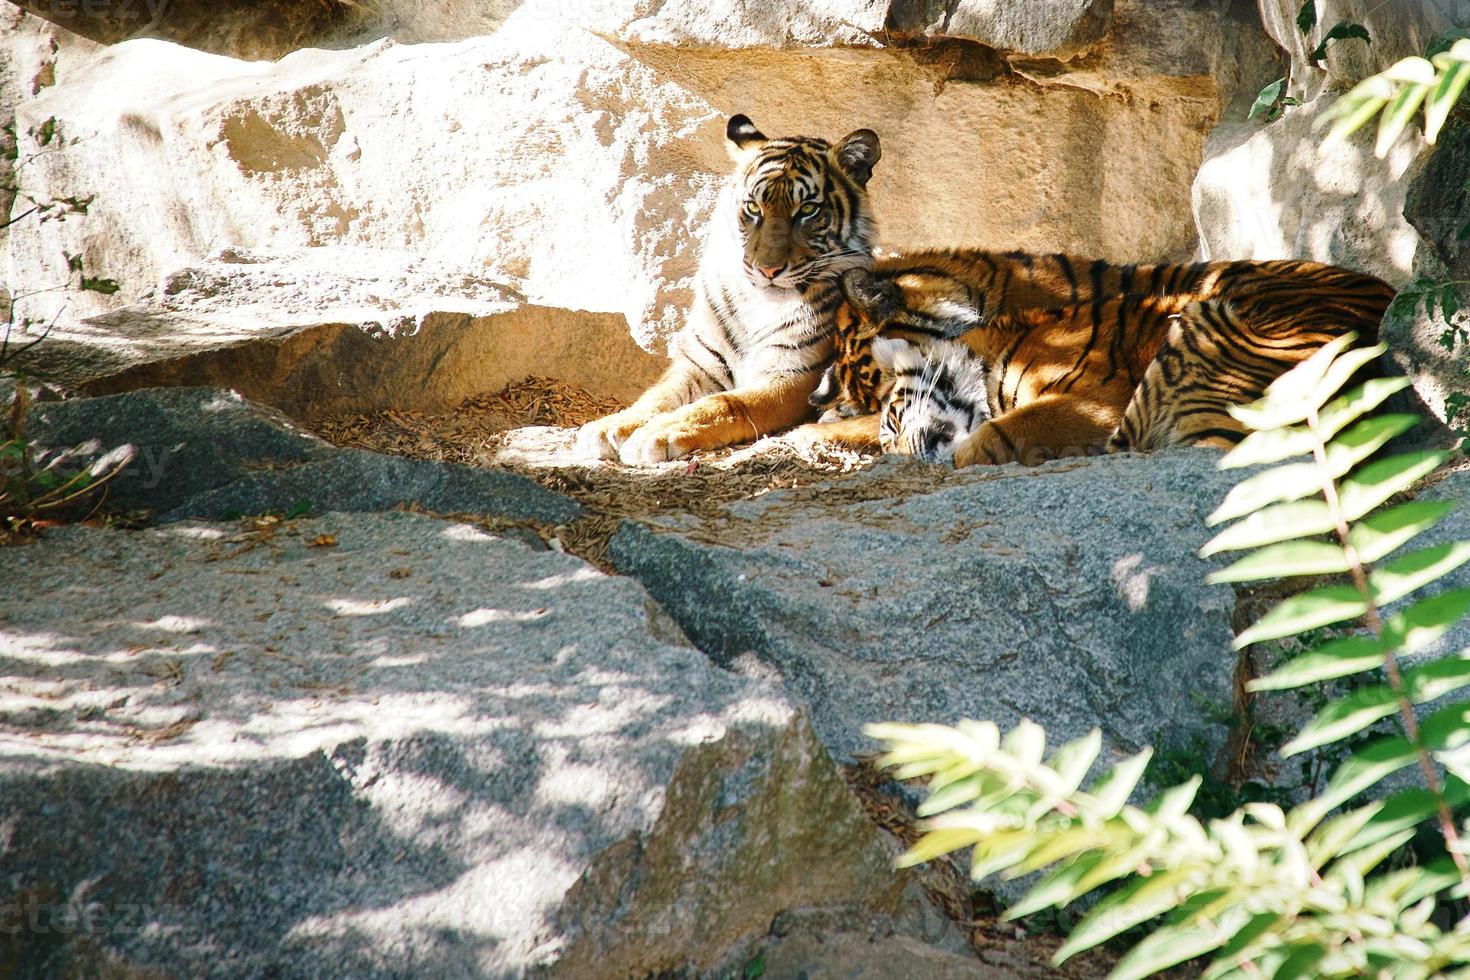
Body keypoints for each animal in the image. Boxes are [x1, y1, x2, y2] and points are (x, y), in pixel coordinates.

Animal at [573, 113, 876, 467]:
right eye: (754, 208)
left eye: (807, 210)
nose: (768, 269)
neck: (759, 306)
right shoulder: (700, 363)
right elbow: (658, 396)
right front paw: (611, 426)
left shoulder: (794, 375)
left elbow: (726, 403)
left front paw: (657, 433)